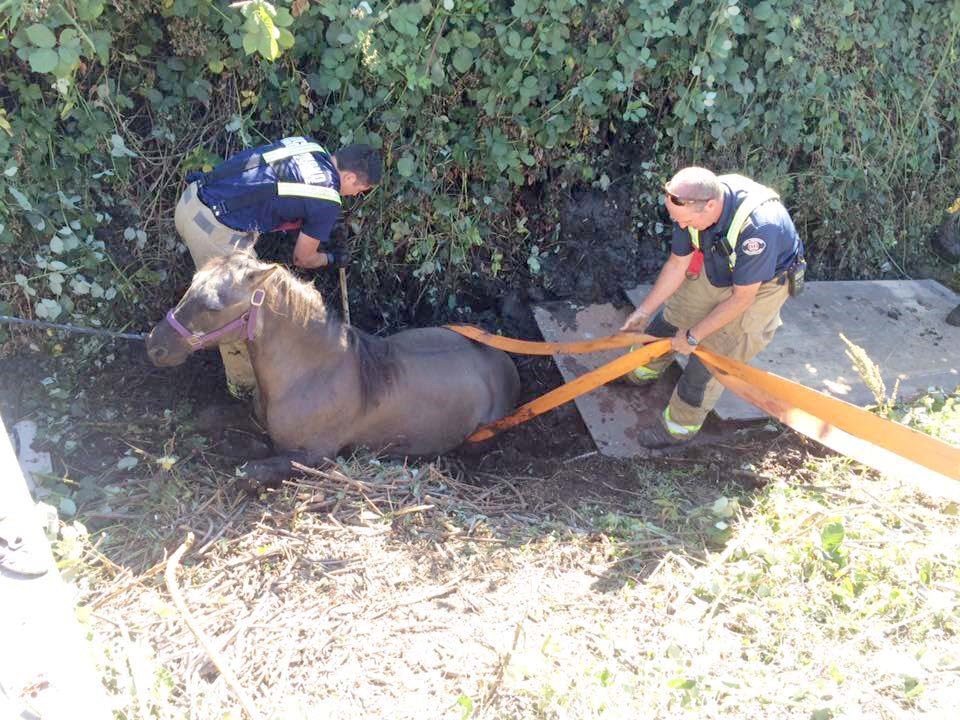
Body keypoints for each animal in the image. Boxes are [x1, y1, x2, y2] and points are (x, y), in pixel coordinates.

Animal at [144, 253, 516, 490]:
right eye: (191, 285)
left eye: (212, 306)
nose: (154, 345)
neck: (309, 374)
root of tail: (503, 359)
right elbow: (210, 417)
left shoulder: (316, 456)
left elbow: (249, 470)